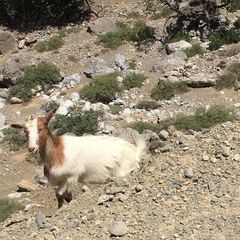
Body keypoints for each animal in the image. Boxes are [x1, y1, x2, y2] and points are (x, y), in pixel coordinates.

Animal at [11, 109, 146, 208]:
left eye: (41, 128)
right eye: (25, 131)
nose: (31, 148)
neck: (58, 152)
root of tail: (134, 152)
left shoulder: (71, 177)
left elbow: (59, 193)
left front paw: (61, 208)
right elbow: (66, 196)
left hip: (124, 170)